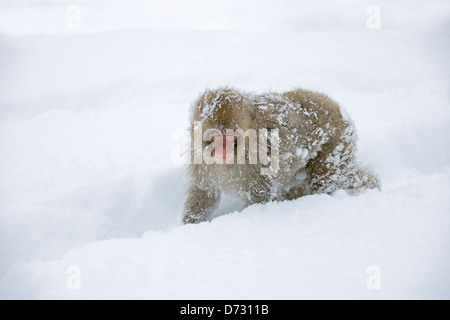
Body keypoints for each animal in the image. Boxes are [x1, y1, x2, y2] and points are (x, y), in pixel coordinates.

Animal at [181, 86, 378, 224]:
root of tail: (335, 105)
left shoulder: (259, 158)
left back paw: (373, 187)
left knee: (329, 179)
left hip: (336, 139)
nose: (224, 151)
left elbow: (259, 196)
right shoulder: (199, 156)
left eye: (231, 136)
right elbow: (205, 192)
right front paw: (190, 226)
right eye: (215, 136)